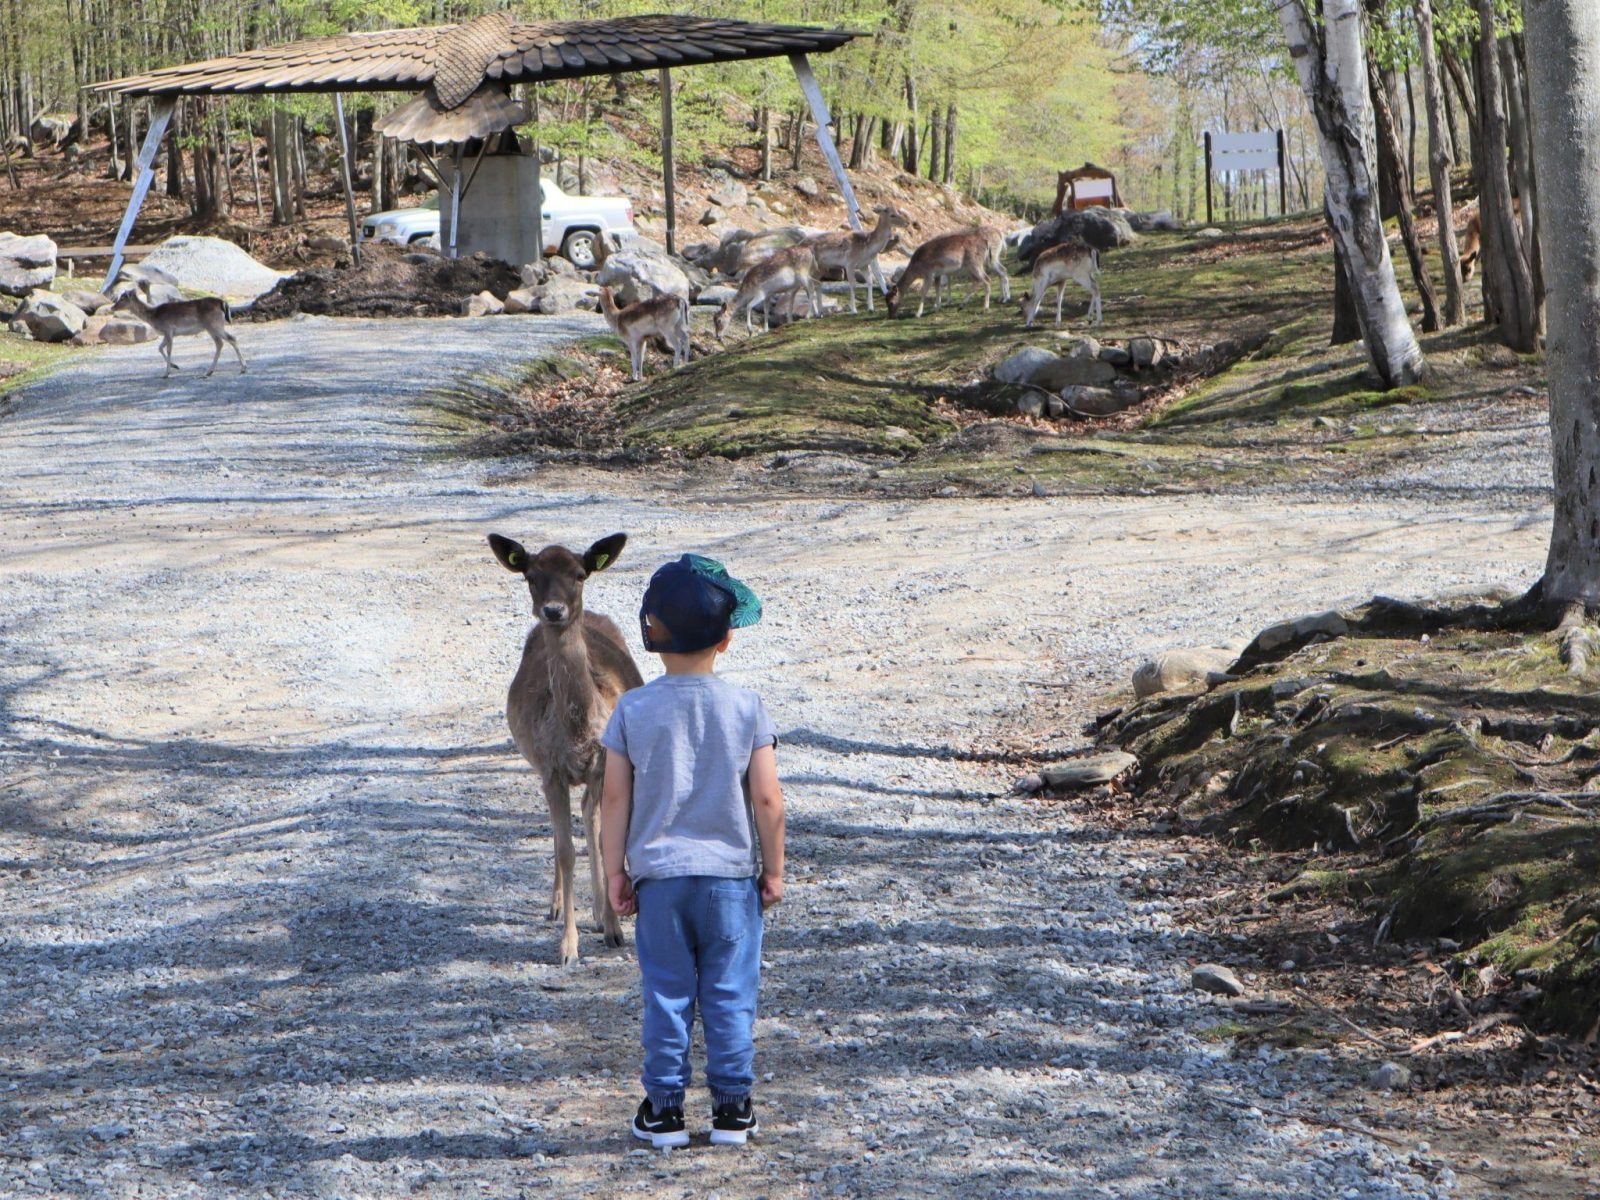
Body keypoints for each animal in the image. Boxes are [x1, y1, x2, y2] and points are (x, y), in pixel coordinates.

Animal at [111, 288, 246, 378]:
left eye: (122, 298)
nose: (112, 307)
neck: (153, 316)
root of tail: (223, 303)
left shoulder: (168, 329)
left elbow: (168, 350)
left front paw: (166, 373)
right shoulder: (167, 333)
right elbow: (160, 348)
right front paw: (175, 366)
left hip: (214, 325)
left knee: (231, 338)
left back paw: (242, 369)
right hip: (212, 327)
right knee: (220, 343)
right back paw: (209, 372)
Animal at [488, 531, 644, 967]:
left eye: (578, 573)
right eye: (530, 575)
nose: (554, 611)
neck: (577, 733)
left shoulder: (604, 765)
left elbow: (604, 839)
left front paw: (614, 930)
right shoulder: (551, 769)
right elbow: (564, 850)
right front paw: (568, 948)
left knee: (591, 818)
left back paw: (601, 912)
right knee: (564, 829)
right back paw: (558, 905)